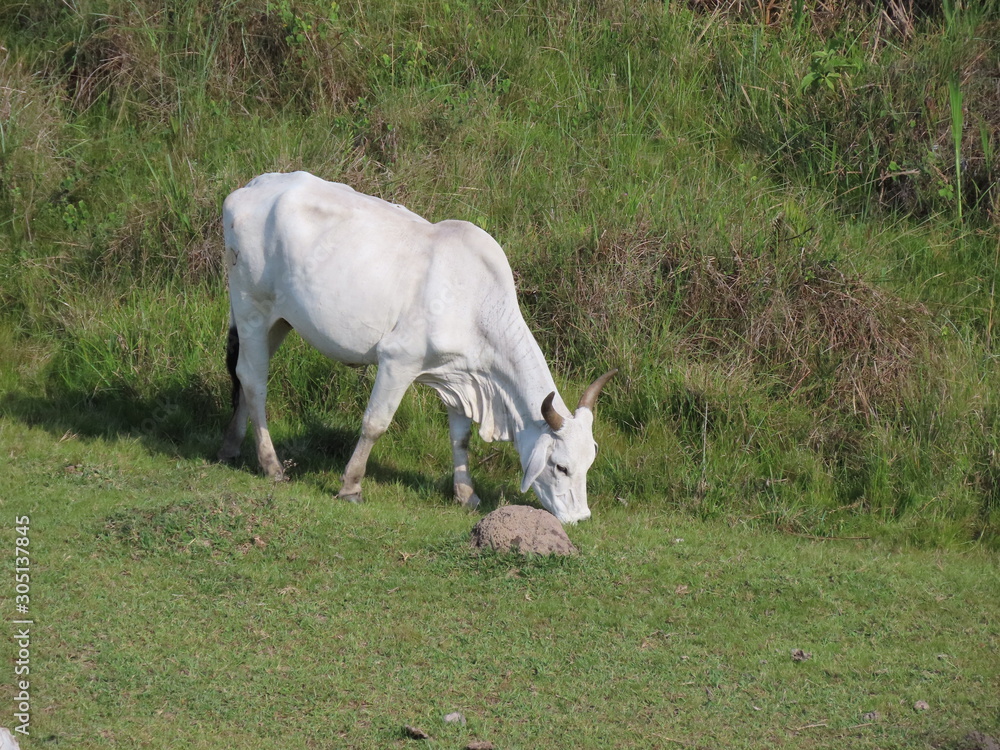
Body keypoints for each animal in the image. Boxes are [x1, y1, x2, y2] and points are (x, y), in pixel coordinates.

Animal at [218, 171, 615, 524]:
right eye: (561, 466)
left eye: (589, 463)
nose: (579, 517)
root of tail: (252, 187)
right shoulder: (398, 360)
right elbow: (374, 424)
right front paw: (351, 487)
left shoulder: (460, 376)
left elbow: (461, 438)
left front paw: (466, 494)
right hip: (251, 306)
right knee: (253, 379)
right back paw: (271, 465)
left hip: (279, 320)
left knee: (245, 373)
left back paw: (232, 446)